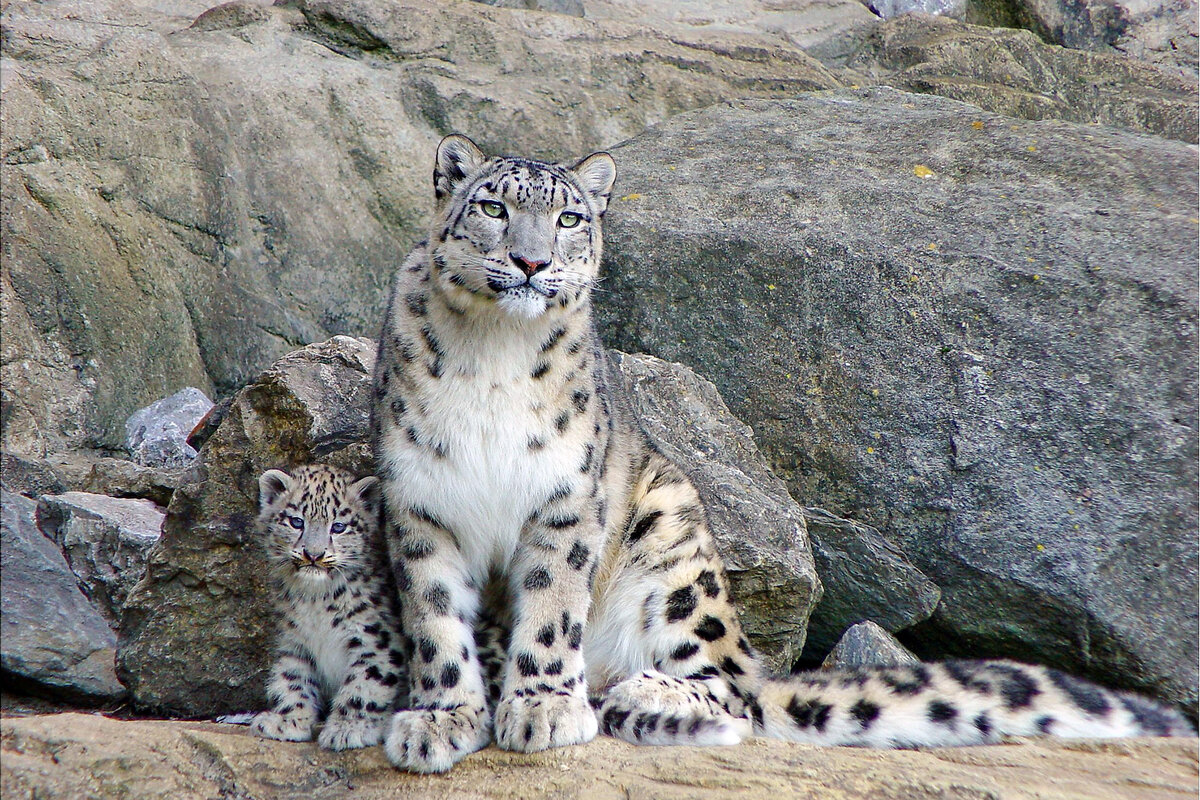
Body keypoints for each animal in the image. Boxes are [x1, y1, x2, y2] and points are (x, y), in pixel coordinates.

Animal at [250, 462, 405, 753]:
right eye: (296, 521)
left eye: (339, 526)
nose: (313, 554)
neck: (315, 601)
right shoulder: (294, 640)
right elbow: (292, 678)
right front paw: (288, 720)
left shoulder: (376, 640)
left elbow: (365, 684)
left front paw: (349, 729)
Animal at [369, 134, 1195, 772]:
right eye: (494, 208)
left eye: (570, 216)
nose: (532, 263)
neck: (493, 356)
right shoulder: (418, 500)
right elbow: (435, 619)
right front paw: (438, 719)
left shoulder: (566, 500)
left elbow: (550, 608)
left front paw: (541, 708)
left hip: (674, 539)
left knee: (735, 688)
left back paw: (644, 691)